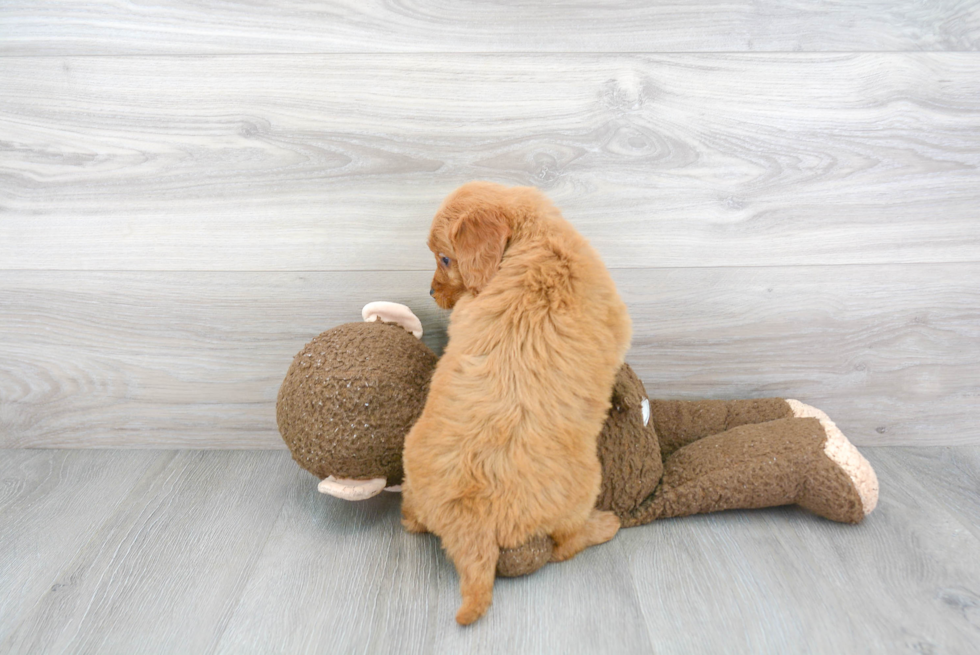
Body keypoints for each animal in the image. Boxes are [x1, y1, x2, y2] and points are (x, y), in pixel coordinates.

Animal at [402, 181, 632, 624]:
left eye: (445, 258)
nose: (430, 291)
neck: (535, 243)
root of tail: (470, 526)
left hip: (412, 459)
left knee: (411, 519)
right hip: (584, 486)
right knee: (565, 545)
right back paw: (604, 525)